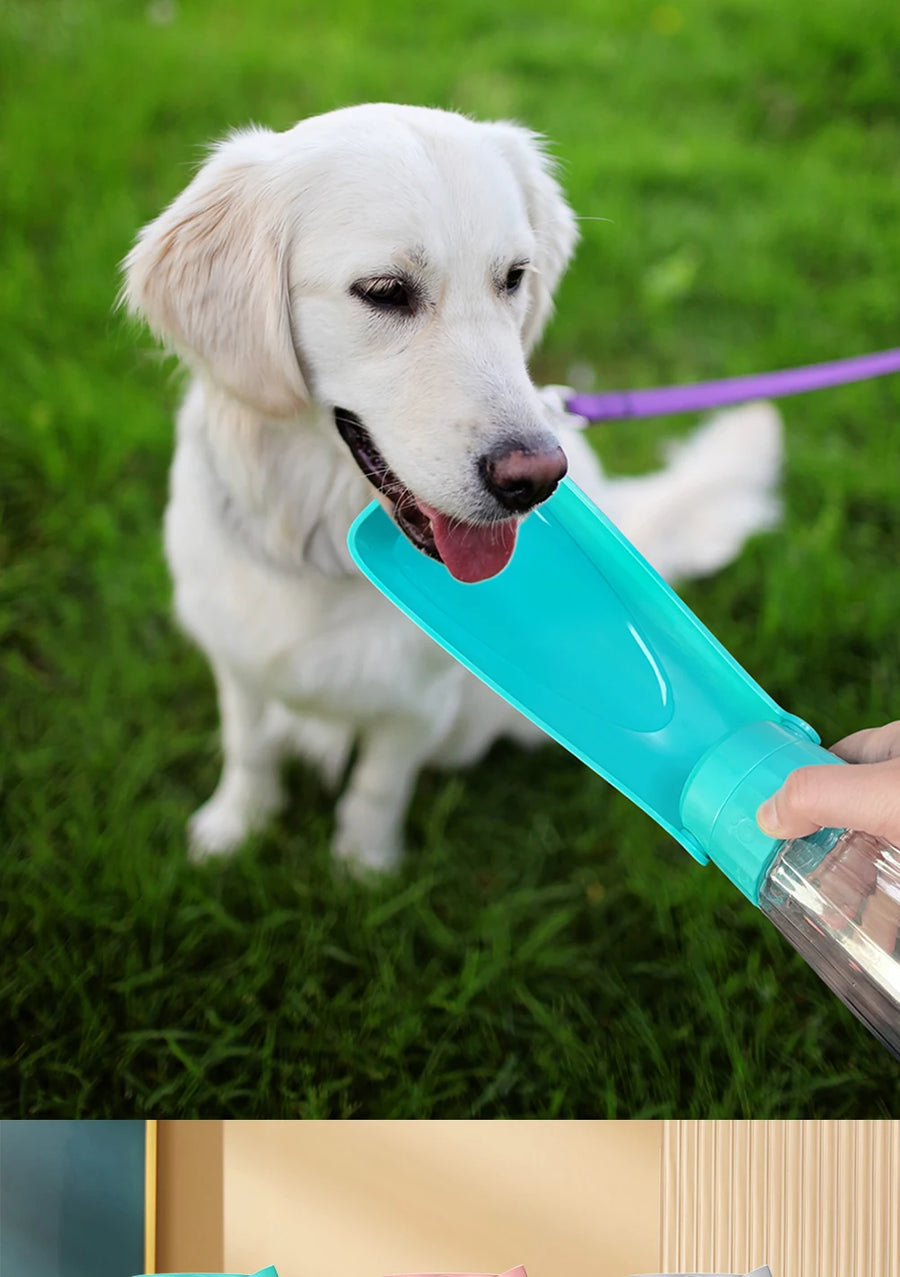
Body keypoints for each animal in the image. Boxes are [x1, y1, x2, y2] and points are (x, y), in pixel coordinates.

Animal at [124, 104, 781, 873]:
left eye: (514, 277)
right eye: (384, 291)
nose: (537, 480)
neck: (321, 549)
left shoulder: (420, 702)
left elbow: (378, 784)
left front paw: (363, 868)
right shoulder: (236, 663)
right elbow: (249, 749)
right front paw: (234, 829)